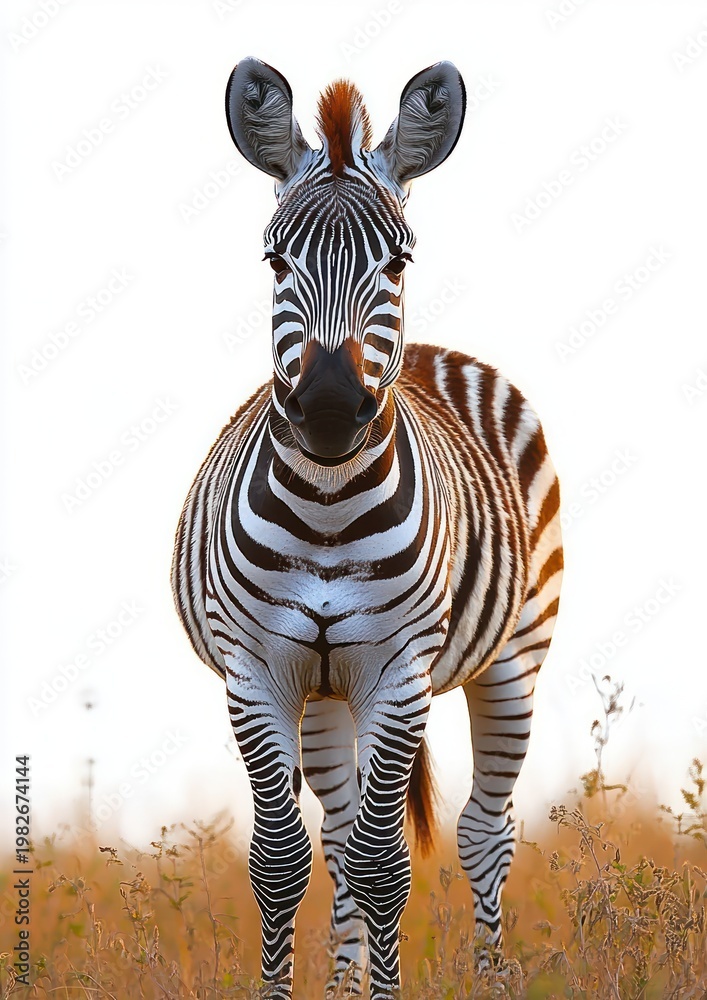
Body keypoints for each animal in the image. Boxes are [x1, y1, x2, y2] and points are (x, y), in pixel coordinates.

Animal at [171, 57, 563, 1000]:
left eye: (398, 258)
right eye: (275, 257)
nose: (327, 407)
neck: (325, 504)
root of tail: (429, 351)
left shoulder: (398, 670)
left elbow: (387, 865)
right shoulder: (257, 669)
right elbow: (283, 860)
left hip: (515, 655)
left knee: (483, 834)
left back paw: (490, 979)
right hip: (325, 693)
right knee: (342, 837)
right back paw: (345, 982)